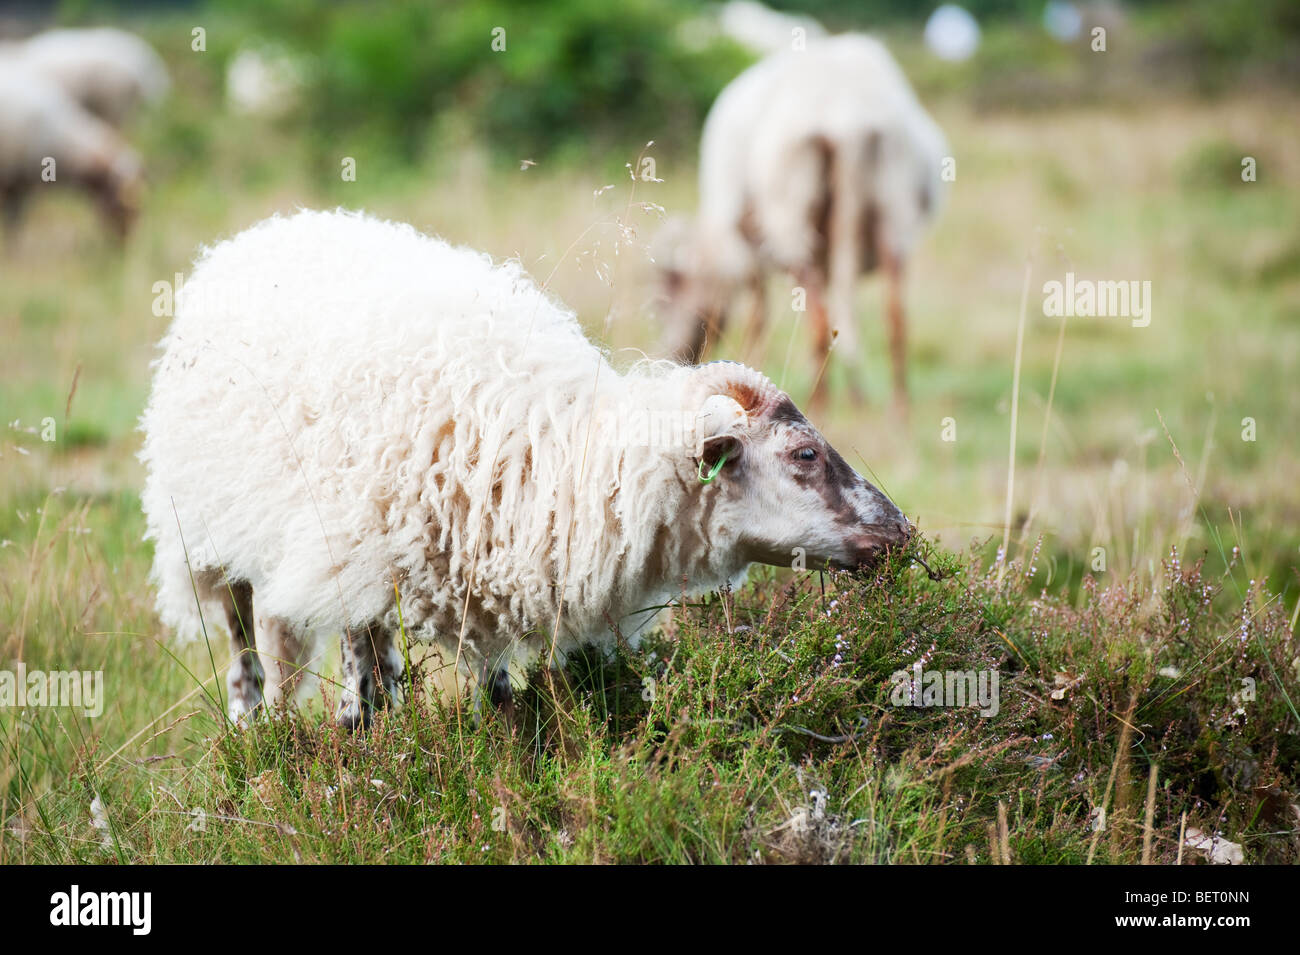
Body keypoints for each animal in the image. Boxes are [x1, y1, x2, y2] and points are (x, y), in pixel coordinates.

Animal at [139, 209, 912, 728]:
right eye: (805, 454)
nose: (902, 532)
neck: (567, 455)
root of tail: (266, 230)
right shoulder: (351, 550)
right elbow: (356, 664)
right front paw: (359, 737)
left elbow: (494, 684)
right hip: (213, 537)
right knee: (249, 641)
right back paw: (257, 730)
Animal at [656, 34, 948, 413]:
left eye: (665, 297)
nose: (672, 357)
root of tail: (850, 118)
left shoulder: (746, 250)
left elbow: (757, 317)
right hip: (893, 212)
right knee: (895, 319)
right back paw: (897, 410)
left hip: (791, 217)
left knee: (821, 325)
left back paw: (819, 403)